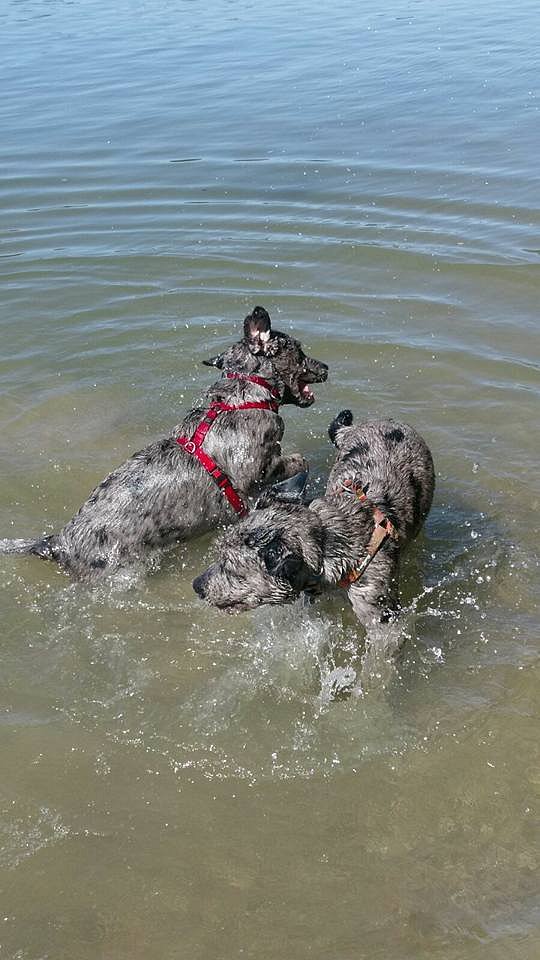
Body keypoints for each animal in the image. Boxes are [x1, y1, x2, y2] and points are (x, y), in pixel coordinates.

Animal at [0, 308, 326, 576]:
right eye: (299, 351)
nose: (325, 368)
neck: (242, 396)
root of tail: (59, 543)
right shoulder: (257, 470)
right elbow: (298, 460)